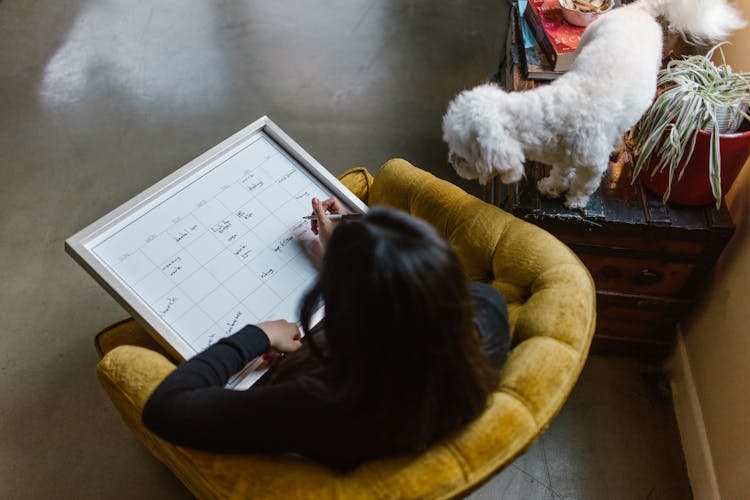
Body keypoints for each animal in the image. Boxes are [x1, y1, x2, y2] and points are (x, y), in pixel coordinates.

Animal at [446, 0, 748, 209]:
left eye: (463, 153)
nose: (451, 162)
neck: (552, 116)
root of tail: (638, 10)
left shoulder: (592, 166)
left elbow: (583, 184)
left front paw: (574, 201)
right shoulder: (562, 156)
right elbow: (559, 174)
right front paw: (552, 187)